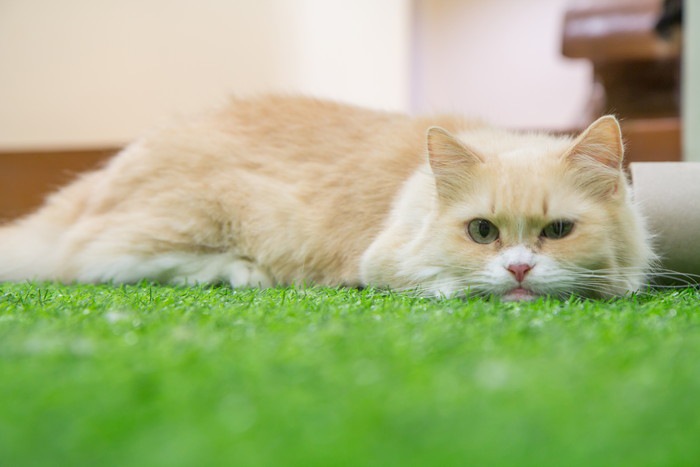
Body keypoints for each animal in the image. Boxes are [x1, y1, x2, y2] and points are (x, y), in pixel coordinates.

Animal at [1, 95, 656, 302]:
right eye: (482, 232)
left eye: (558, 232)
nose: (520, 270)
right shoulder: (384, 257)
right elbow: (435, 281)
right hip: (195, 220)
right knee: (92, 263)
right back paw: (242, 273)